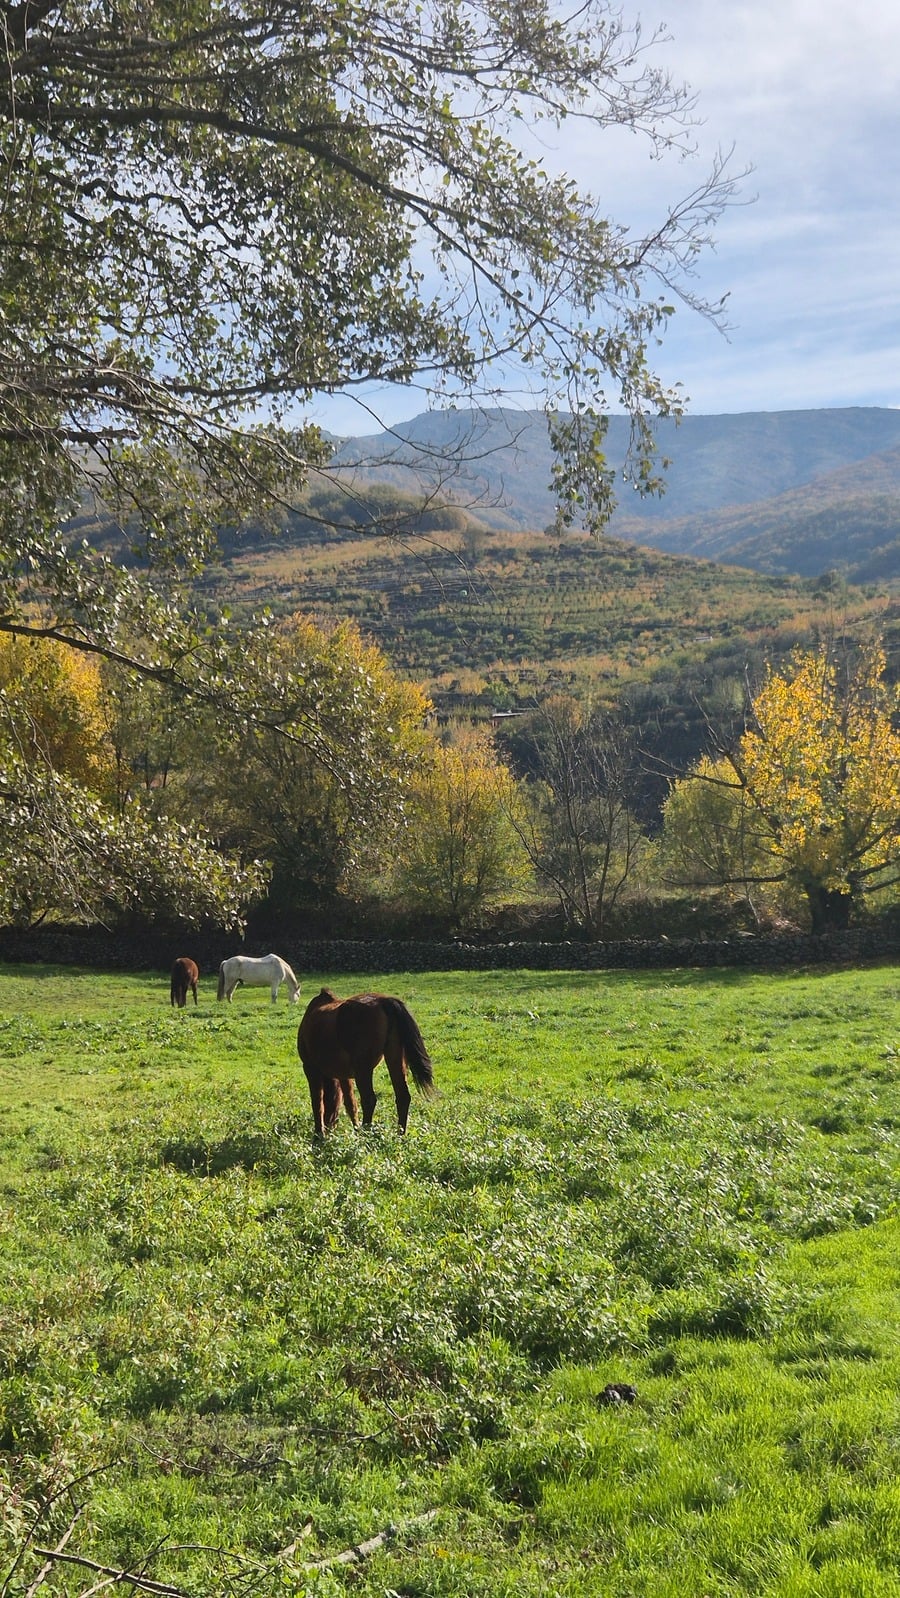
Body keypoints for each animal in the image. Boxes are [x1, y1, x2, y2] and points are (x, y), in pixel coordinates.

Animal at [297, 987, 435, 1137]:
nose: (330, 1127)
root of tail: (384, 1001)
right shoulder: (343, 1075)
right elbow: (350, 1103)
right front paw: (355, 1129)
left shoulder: (310, 1068)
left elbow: (317, 1103)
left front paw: (318, 1134)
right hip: (394, 1057)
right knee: (402, 1096)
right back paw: (399, 1134)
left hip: (363, 1068)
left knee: (369, 1099)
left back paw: (366, 1132)